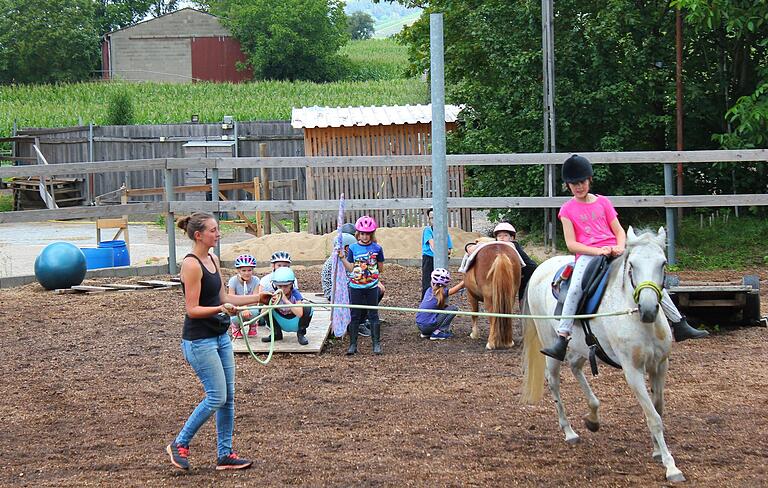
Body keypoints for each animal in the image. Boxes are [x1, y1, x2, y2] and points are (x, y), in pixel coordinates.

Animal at [520, 227, 684, 482]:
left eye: (663, 263)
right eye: (632, 265)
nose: (648, 309)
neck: (639, 320)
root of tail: (541, 267)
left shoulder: (660, 366)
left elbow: (658, 408)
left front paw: (657, 450)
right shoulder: (632, 371)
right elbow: (653, 417)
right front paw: (671, 466)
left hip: (580, 346)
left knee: (575, 367)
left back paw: (593, 417)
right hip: (550, 344)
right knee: (554, 381)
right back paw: (569, 431)